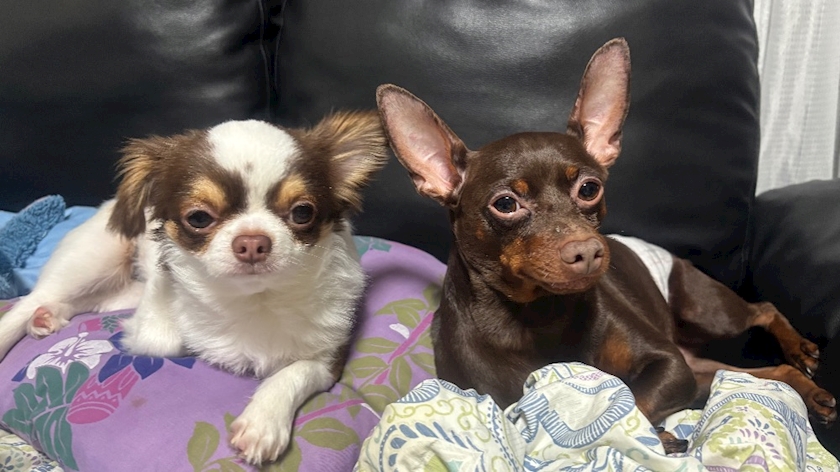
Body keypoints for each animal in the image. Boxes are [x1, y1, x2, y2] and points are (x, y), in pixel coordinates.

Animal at [0, 112, 388, 464]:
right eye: (199, 218)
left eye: (302, 212)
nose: (252, 242)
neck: (255, 299)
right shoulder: (153, 328)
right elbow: (166, 335)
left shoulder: (328, 359)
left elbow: (294, 371)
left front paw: (262, 422)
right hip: (92, 257)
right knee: (35, 298)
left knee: (91, 301)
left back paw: (48, 319)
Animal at [375, 38, 837, 453]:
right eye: (505, 204)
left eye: (589, 188)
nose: (588, 252)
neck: (539, 314)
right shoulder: (503, 400)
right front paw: (656, 438)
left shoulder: (670, 366)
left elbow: (632, 399)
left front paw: (653, 437)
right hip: (703, 361)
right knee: (763, 372)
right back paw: (807, 389)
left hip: (706, 311)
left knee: (763, 310)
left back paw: (801, 352)